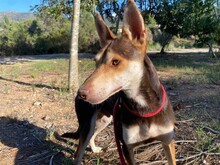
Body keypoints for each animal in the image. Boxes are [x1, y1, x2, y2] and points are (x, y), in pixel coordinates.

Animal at [62, 0, 175, 164]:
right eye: (96, 62)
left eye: (115, 62)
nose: (81, 94)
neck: (144, 106)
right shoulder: (127, 147)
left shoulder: (168, 141)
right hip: (87, 123)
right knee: (78, 153)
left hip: (105, 120)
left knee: (92, 136)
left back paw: (94, 149)